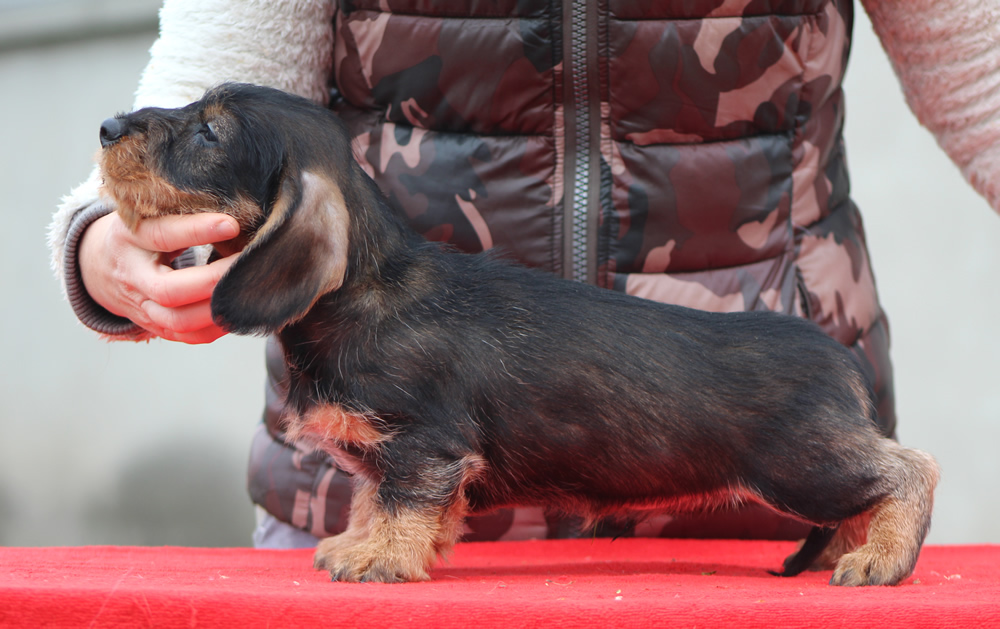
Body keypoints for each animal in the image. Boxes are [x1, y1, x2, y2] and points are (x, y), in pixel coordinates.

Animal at [97, 82, 940, 584]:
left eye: (209, 131)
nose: (106, 124)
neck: (363, 292)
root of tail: (840, 358)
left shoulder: (423, 445)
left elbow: (399, 503)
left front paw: (381, 558)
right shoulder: (404, 455)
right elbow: (378, 499)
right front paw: (363, 543)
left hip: (803, 462)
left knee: (911, 470)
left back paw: (881, 557)